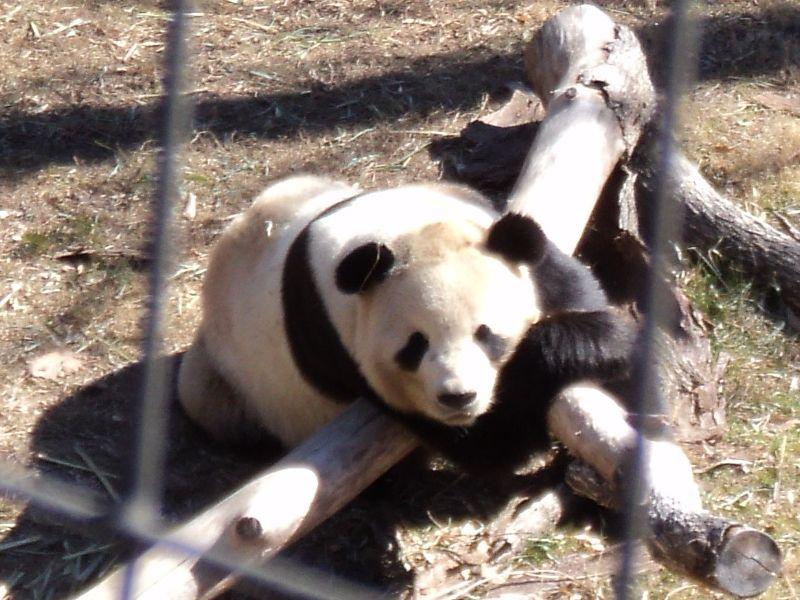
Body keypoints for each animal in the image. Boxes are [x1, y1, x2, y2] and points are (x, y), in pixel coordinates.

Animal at [178, 176, 636, 476]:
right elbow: (491, 445)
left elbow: (578, 293)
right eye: (415, 346)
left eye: (486, 335)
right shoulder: (338, 343)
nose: (458, 397)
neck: (399, 231)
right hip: (240, 386)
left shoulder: (490, 227)